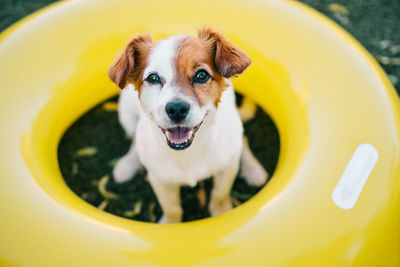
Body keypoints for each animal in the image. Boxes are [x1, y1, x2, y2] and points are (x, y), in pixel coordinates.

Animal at [108, 28, 268, 224]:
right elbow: (172, 208)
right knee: (133, 141)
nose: (176, 109)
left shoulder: (227, 170)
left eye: (201, 75)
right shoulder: (159, 179)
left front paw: (221, 214)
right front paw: (170, 224)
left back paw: (253, 170)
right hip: (127, 117)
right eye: (153, 78)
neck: (187, 153)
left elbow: (219, 196)